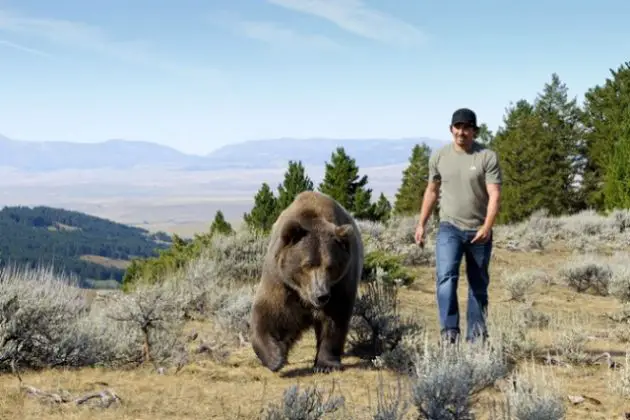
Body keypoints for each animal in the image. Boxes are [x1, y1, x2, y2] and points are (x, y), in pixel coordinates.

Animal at [249, 192, 362, 372]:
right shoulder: (281, 281)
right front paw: (275, 357)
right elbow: (269, 312)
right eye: (308, 264)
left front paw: (326, 364)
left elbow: (335, 319)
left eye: (331, 266)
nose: (321, 295)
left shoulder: (340, 285)